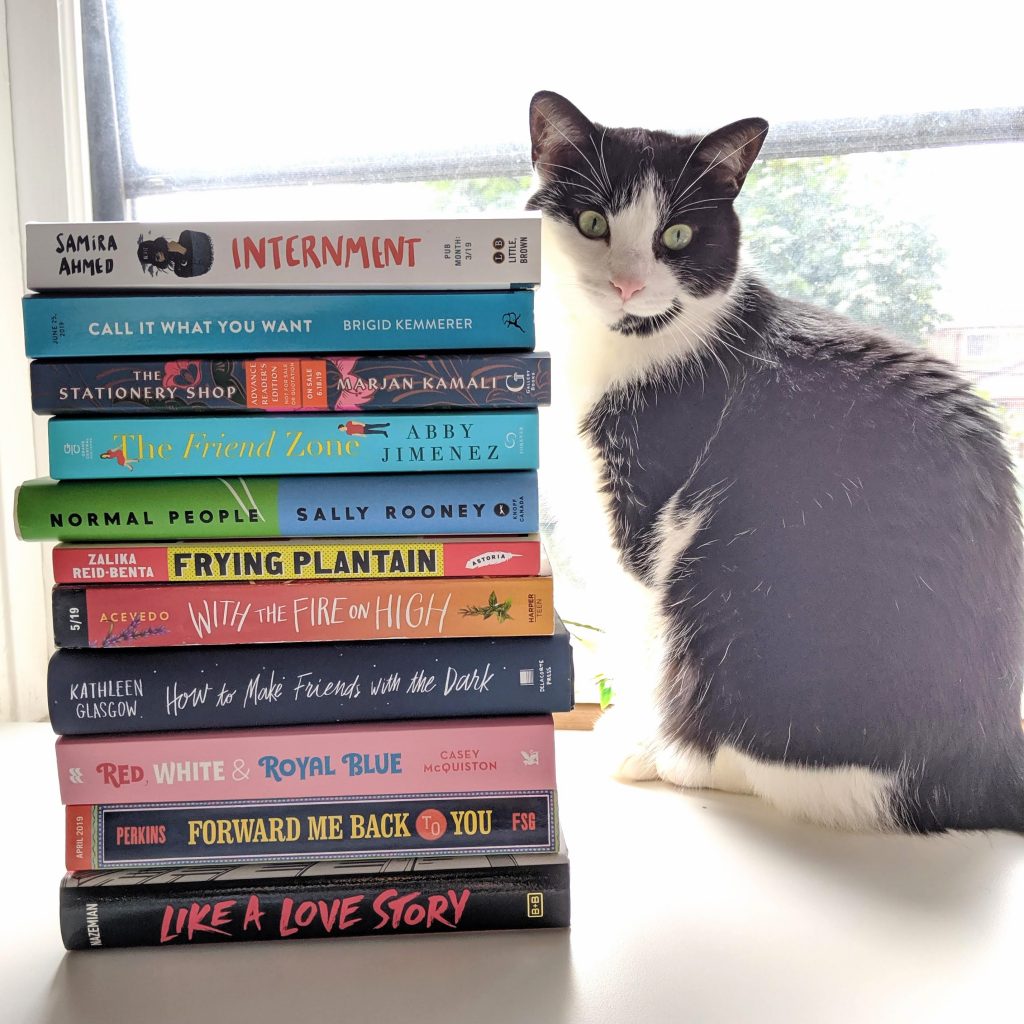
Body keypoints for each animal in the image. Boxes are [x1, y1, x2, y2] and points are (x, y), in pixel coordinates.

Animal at [528, 90, 1024, 831]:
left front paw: (631, 732)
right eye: (592, 221)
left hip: (736, 575)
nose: (628, 284)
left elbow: (637, 634)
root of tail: (986, 756)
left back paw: (666, 753)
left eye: (677, 236)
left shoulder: (641, 518)